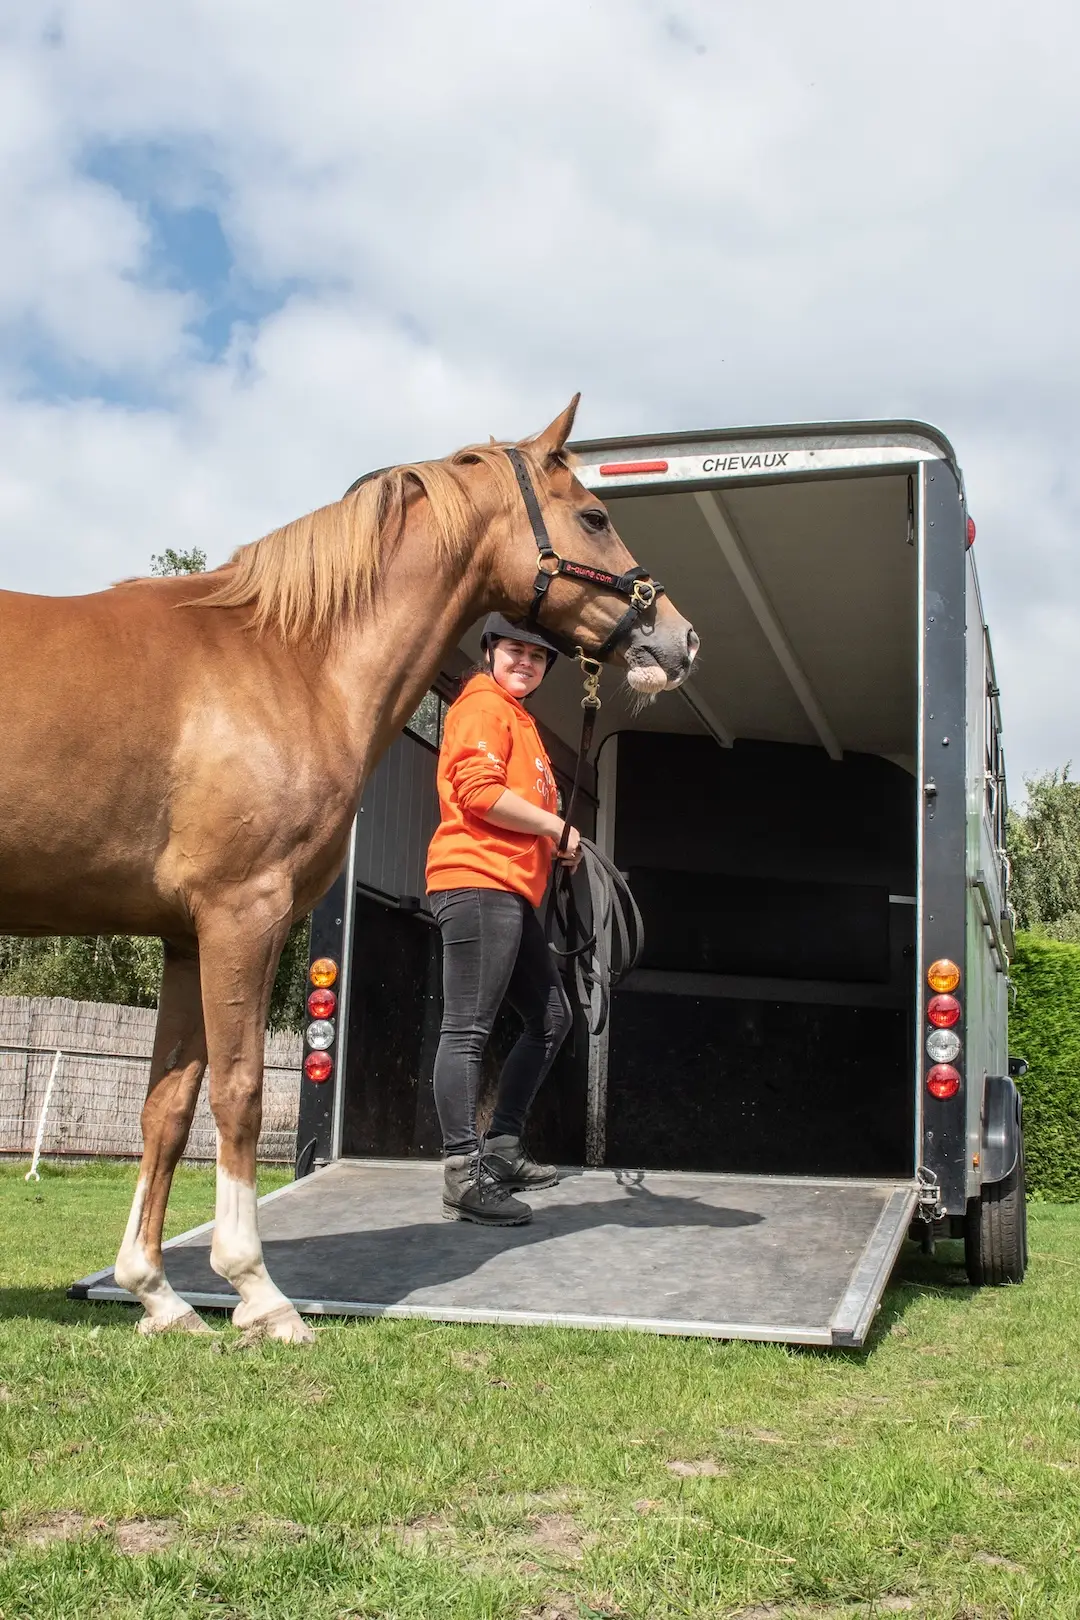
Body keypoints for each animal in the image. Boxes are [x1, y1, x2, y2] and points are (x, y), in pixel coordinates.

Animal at [0, 396, 697, 1343]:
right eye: (593, 516)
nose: (682, 639)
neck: (287, 662)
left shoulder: (185, 937)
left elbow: (168, 1107)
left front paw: (157, 1294)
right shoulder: (242, 916)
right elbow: (241, 1094)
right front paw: (258, 1294)